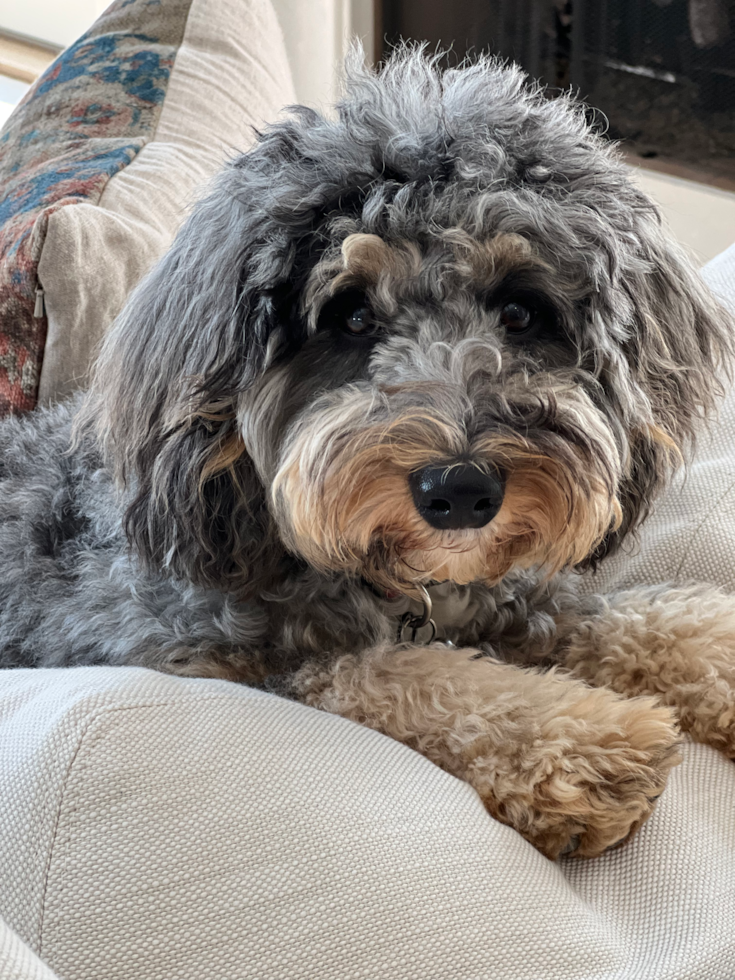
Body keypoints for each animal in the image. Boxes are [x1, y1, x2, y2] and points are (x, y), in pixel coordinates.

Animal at [1, 47, 735, 856]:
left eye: (520, 311)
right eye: (350, 316)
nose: (459, 490)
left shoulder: (517, 600)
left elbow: (637, 617)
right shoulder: (220, 657)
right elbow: (408, 677)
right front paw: (585, 745)